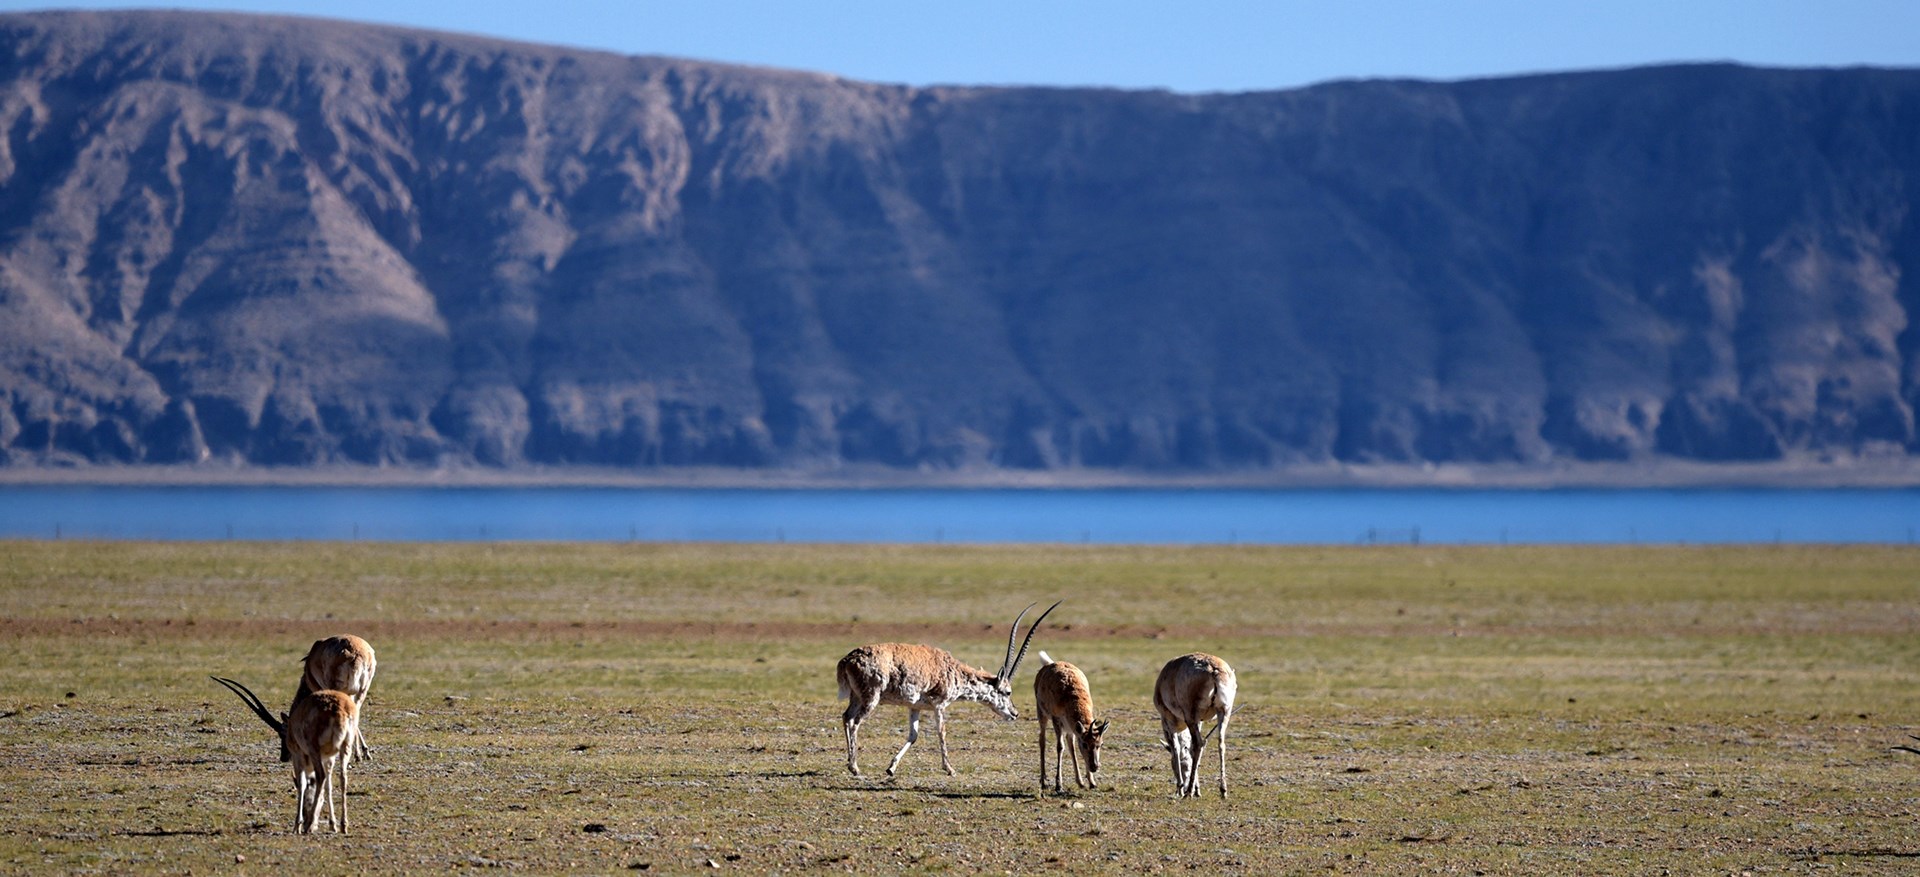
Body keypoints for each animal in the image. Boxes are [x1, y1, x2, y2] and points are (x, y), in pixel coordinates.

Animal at [212, 671, 360, 829]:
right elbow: (328, 784)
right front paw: (332, 824)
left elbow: (302, 783)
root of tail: (338, 709)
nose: (283, 757)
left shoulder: (298, 755)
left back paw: (308, 824)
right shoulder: (328, 757)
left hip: (313, 750)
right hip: (345, 748)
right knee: (342, 777)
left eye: (282, 734)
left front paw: (299, 824)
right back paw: (343, 825)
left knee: (320, 776)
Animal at [833, 598, 1059, 775]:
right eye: (1008, 691)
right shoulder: (939, 705)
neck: (953, 670)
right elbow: (941, 731)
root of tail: (848, 660)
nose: (1015, 713)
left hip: (857, 697)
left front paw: (891, 768)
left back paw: (851, 763)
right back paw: (854, 767)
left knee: (846, 717)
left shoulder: (914, 707)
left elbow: (913, 736)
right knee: (855, 722)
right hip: (871, 698)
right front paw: (950, 769)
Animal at [1036, 648, 1113, 794]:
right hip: (1041, 712)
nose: (1095, 766)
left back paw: (1080, 782)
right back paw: (1043, 781)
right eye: (1084, 744)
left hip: (1069, 727)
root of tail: (1048, 663)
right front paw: (1058, 785)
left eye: (1100, 744)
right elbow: (1060, 747)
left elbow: (1072, 747)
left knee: (1070, 744)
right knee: (1042, 740)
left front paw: (1092, 782)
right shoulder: (1056, 718)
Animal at [1144, 652, 1236, 798]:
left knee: (1199, 743)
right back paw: (1223, 791)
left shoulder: (1168, 722)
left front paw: (1181, 788)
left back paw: (1188, 792)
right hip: (1224, 711)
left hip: (1191, 717)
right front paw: (1197, 790)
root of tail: (1213, 669)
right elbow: (1191, 749)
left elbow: (1176, 748)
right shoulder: (1200, 721)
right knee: (1220, 743)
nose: (1182, 786)